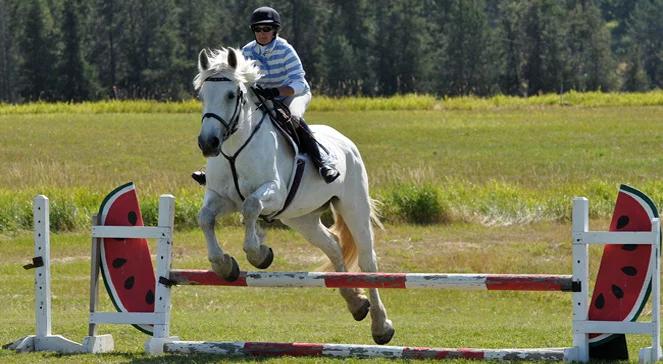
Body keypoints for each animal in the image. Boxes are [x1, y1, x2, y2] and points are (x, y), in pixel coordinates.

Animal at [196, 47, 394, 344]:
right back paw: (356, 303)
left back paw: (381, 326)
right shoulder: (222, 197)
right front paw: (224, 265)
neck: (234, 148)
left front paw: (258, 254)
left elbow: (251, 207)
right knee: (333, 245)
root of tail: (345, 140)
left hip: (353, 204)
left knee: (368, 260)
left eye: (231, 95)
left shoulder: (274, 193)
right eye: (202, 95)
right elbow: (206, 218)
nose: (208, 143)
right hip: (301, 217)